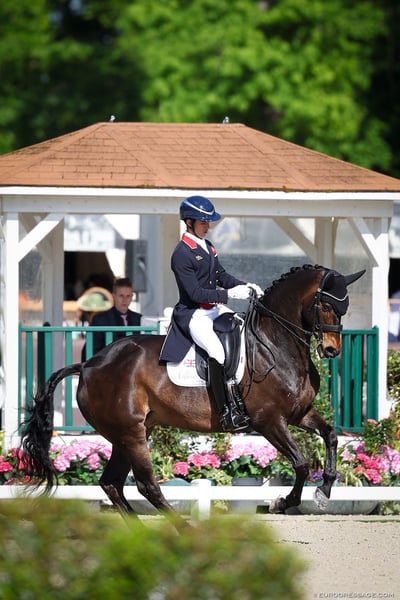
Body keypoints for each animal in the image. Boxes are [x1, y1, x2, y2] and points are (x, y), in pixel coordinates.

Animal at [20, 264, 364, 519]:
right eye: (325, 304)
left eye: (344, 307)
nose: (331, 350)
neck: (275, 344)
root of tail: (89, 364)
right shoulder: (269, 421)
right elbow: (302, 463)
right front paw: (281, 502)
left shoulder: (298, 414)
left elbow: (331, 435)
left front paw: (324, 492)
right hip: (131, 434)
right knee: (146, 485)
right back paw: (182, 528)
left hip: (127, 434)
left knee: (112, 484)